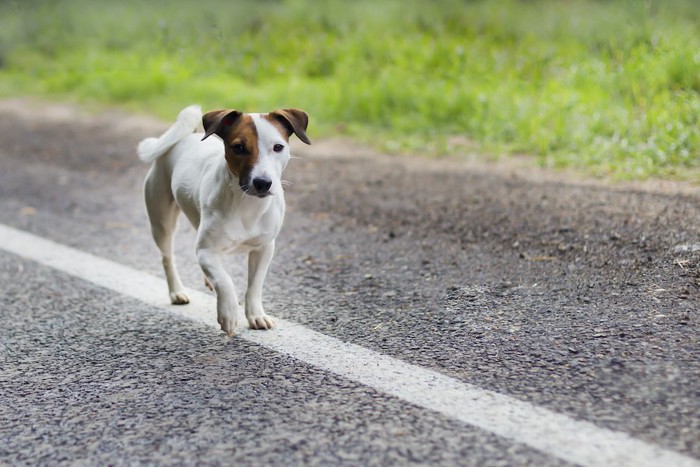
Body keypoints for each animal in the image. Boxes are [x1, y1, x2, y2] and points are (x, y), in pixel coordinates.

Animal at [138, 105, 310, 336]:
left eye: (278, 147)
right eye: (238, 147)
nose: (263, 183)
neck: (247, 205)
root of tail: (185, 137)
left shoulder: (264, 248)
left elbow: (254, 285)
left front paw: (256, 315)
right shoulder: (206, 251)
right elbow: (225, 280)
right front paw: (228, 313)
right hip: (161, 222)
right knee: (168, 258)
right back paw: (177, 292)